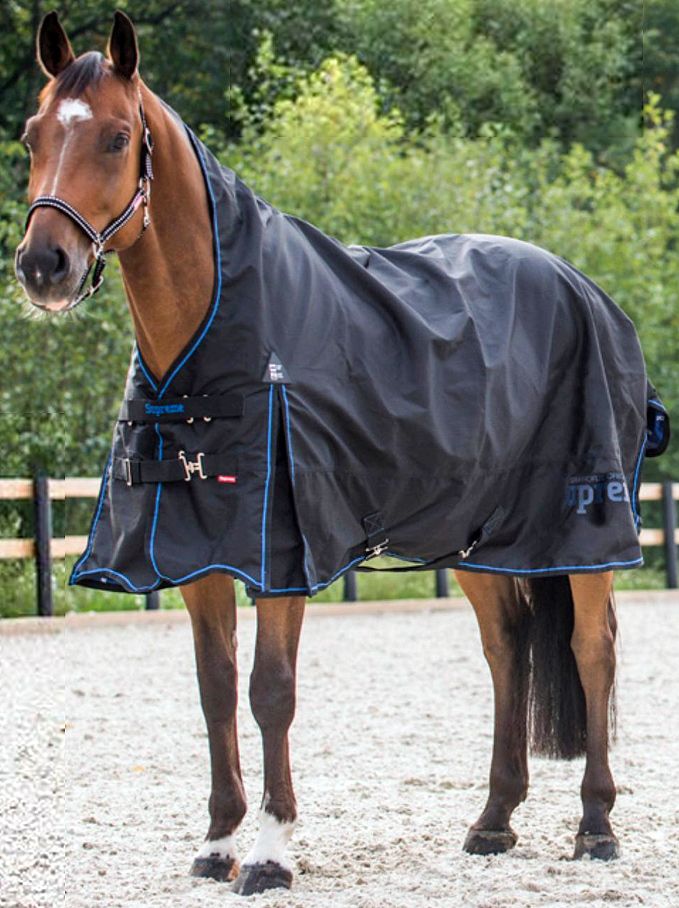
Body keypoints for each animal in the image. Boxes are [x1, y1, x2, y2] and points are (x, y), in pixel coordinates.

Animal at [15, 11, 655, 895]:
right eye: (33, 135)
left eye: (115, 137)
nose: (44, 266)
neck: (217, 345)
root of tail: (587, 289)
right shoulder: (197, 557)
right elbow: (215, 692)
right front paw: (218, 842)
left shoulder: (281, 554)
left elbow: (269, 692)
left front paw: (270, 853)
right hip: (481, 542)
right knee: (506, 652)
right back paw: (493, 821)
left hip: (583, 533)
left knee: (590, 653)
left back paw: (594, 825)